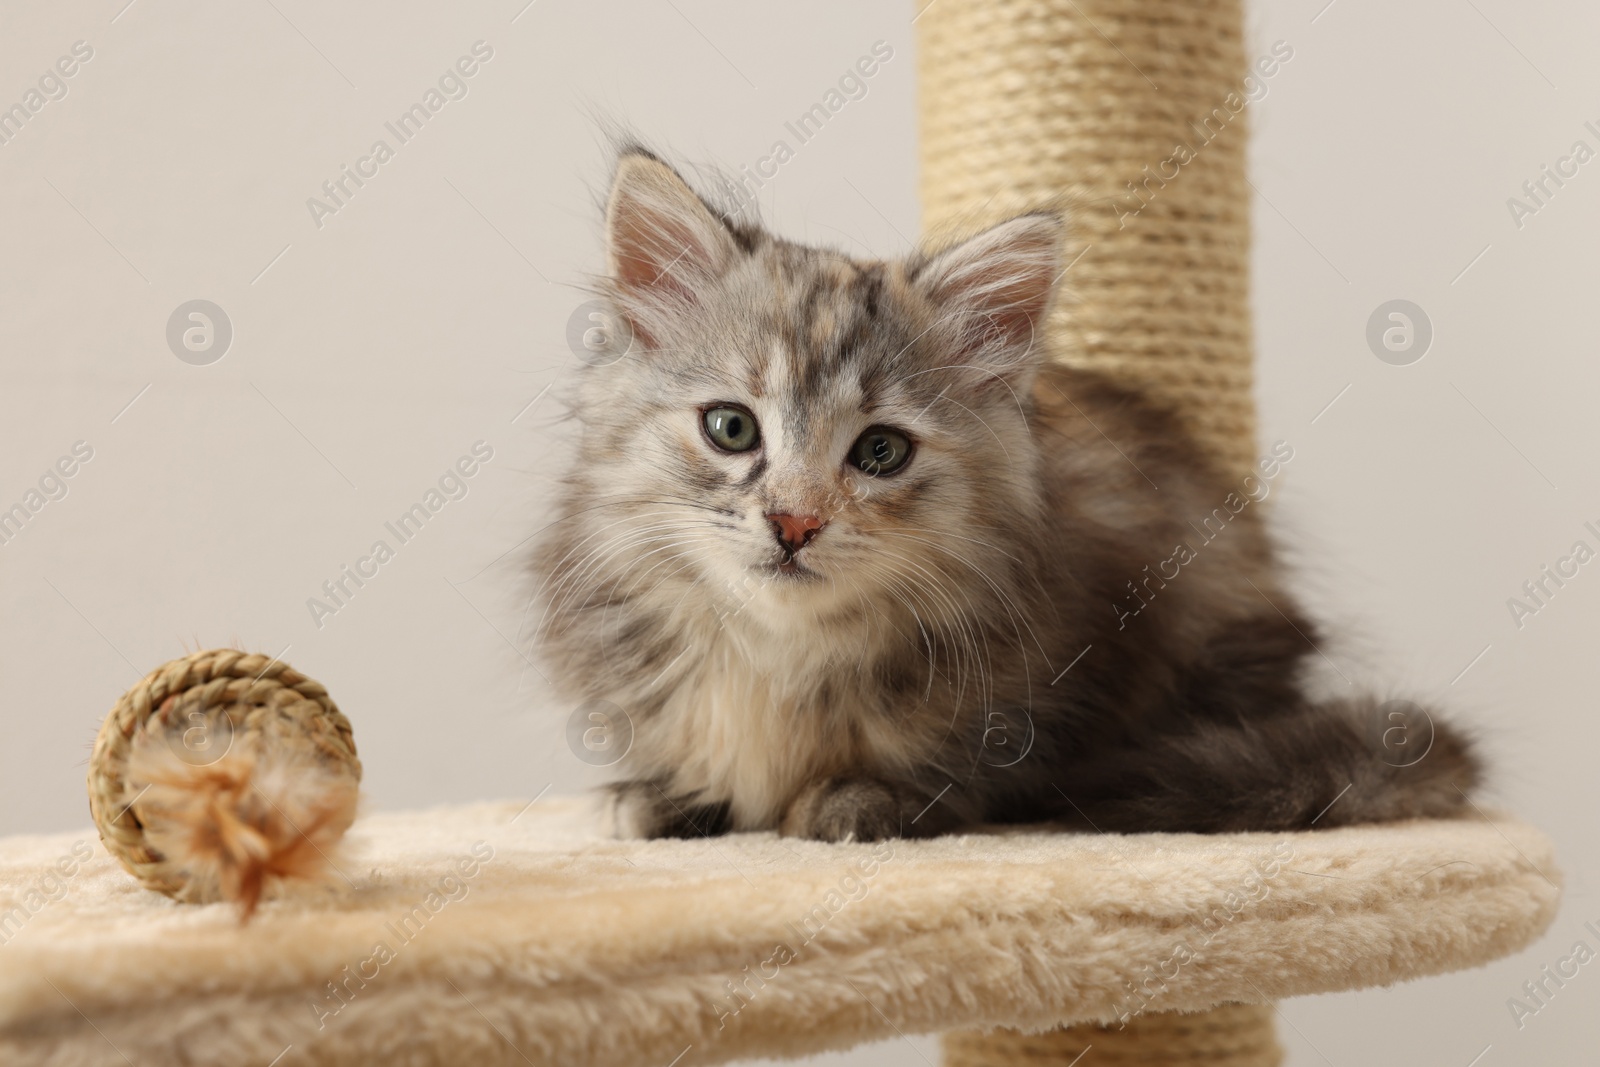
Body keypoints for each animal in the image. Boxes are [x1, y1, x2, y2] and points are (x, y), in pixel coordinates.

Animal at [531, 147, 1478, 844]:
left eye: (880, 451)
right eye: (731, 429)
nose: (794, 521)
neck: (783, 654)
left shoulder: (1061, 680)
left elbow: (965, 771)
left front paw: (856, 800)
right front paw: (658, 792)